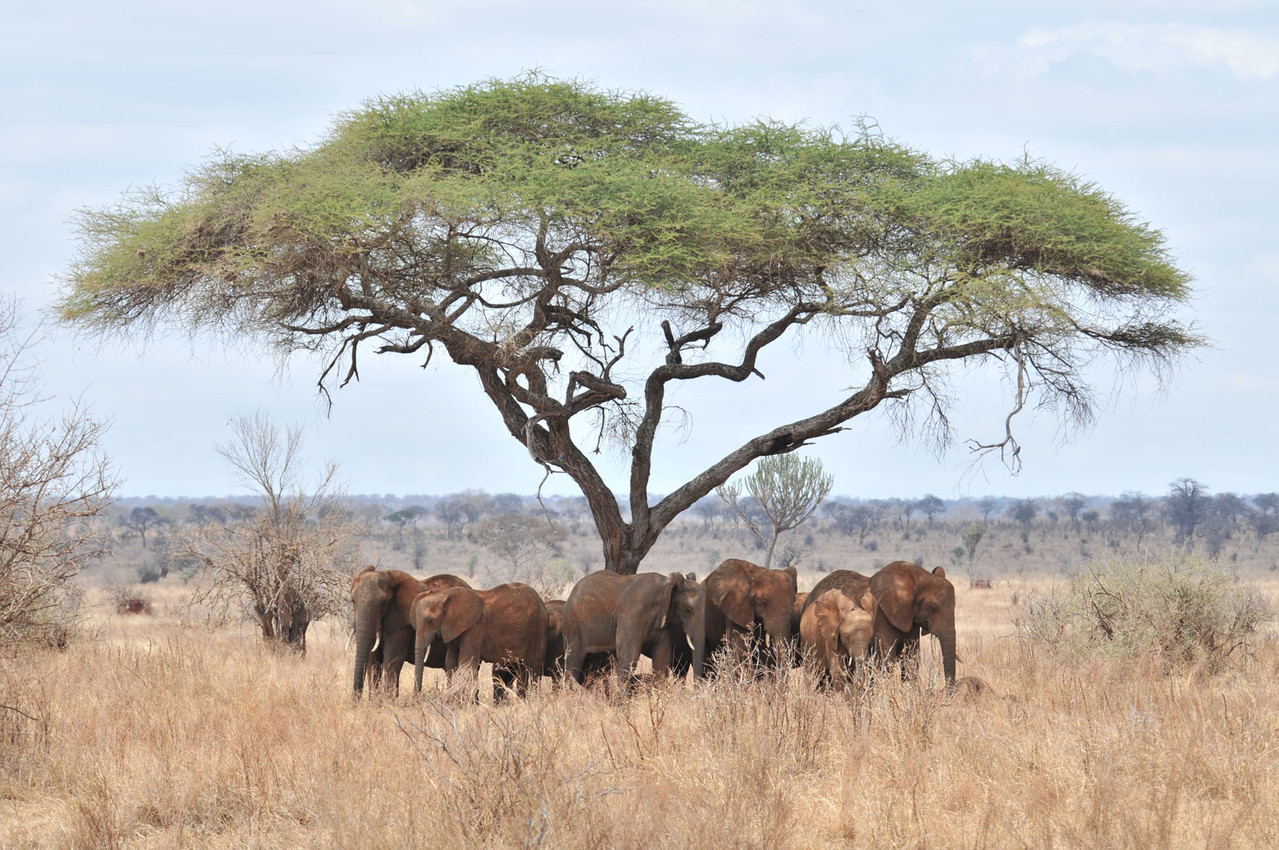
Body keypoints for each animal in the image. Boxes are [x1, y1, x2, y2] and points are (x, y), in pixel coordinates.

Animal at [350, 562, 470, 695]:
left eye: (383, 602)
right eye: (352, 600)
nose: (355, 698)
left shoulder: (403, 623)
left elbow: (392, 660)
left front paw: (388, 699)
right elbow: (373, 662)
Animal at [411, 580, 547, 700]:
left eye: (430, 621)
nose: (417, 698)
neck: (444, 594)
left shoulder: (475, 628)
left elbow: (465, 661)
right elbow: (450, 661)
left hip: (538, 630)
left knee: (534, 668)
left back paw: (534, 700)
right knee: (521, 668)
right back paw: (522, 701)